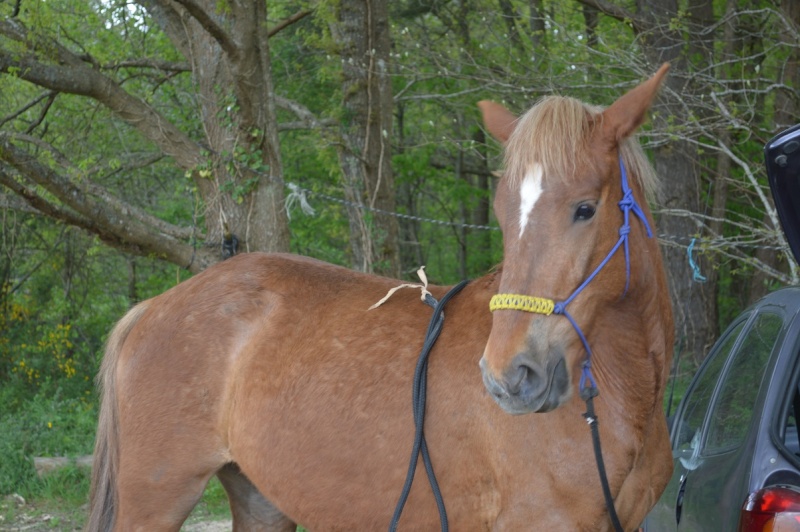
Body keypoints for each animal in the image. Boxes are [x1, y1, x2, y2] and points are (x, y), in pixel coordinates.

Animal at [87, 66, 676, 532]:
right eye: (504, 212)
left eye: (585, 208)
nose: (509, 377)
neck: (621, 398)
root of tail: (152, 309)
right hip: (156, 503)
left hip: (260, 500)